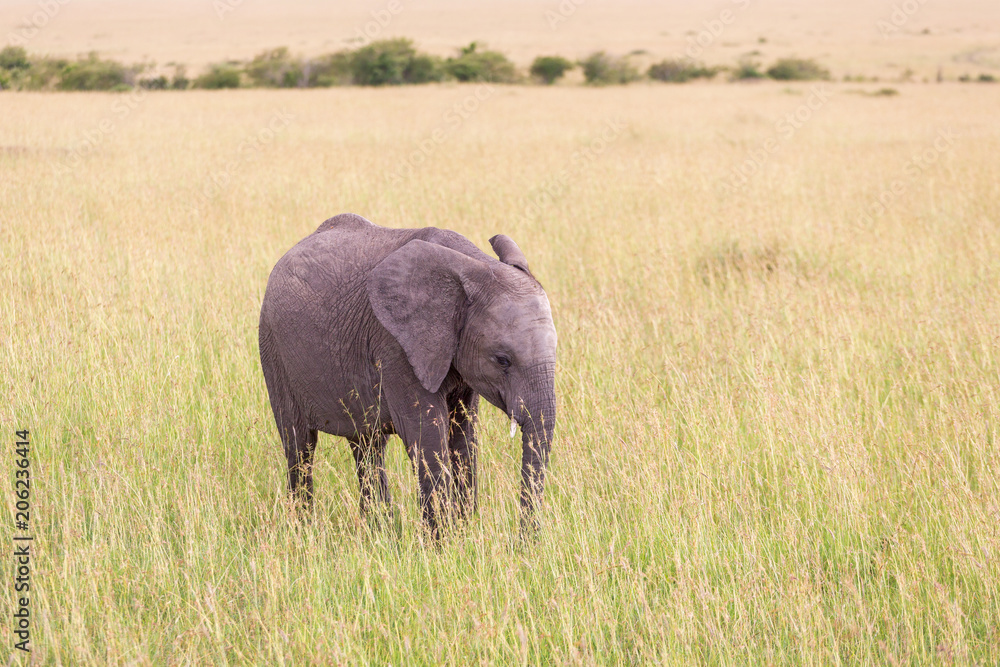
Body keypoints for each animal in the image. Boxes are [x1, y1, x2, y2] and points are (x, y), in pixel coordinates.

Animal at [258, 213, 557, 537]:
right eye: (503, 360)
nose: (523, 542)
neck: (475, 265)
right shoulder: (396, 348)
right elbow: (426, 439)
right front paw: (444, 543)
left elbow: (464, 436)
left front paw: (463, 532)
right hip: (273, 349)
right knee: (300, 447)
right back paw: (303, 529)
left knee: (367, 446)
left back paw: (379, 532)